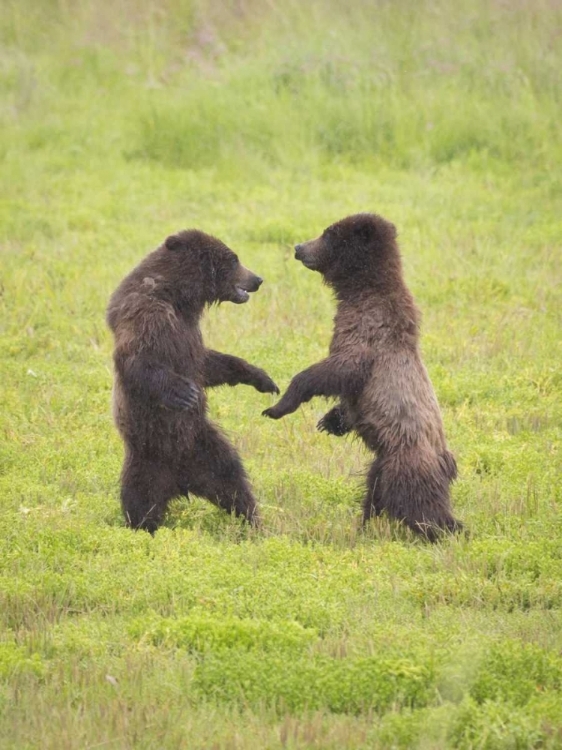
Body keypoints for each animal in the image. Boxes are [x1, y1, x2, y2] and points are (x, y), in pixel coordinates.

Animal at [106, 229, 276, 536]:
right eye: (234, 259)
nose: (257, 279)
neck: (179, 297)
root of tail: (180, 480)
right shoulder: (146, 314)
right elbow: (137, 359)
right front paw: (183, 392)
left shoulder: (191, 333)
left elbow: (208, 364)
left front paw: (261, 377)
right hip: (147, 455)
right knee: (139, 498)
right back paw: (142, 528)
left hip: (203, 444)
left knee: (231, 478)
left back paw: (253, 522)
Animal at [262, 212, 460, 540]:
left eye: (328, 234)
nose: (299, 247)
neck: (359, 290)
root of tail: (445, 462)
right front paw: (331, 421)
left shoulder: (367, 331)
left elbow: (337, 369)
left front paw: (277, 406)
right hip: (381, 463)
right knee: (375, 493)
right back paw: (365, 526)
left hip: (404, 461)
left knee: (421, 506)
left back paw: (448, 530)